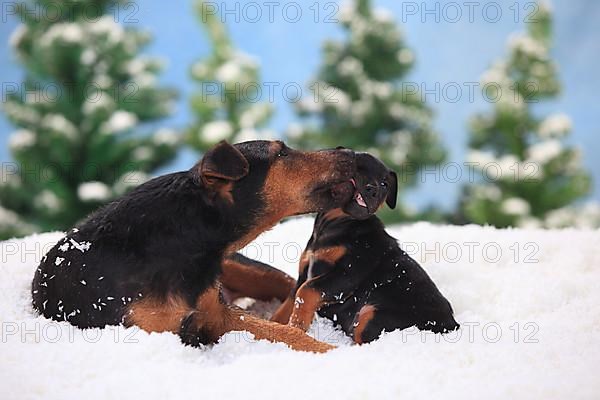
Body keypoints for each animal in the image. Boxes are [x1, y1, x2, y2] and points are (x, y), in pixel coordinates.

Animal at [34, 141, 366, 354]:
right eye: (281, 153)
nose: (350, 152)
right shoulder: (158, 328)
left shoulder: (218, 314)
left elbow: (286, 333)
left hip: (246, 270)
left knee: (291, 288)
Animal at [272, 153, 460, 344]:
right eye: (358, 169)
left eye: (385, 184)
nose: (373, 191)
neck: (336, 224)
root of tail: (453, 326)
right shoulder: (303, 273)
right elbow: (288, 302)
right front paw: (275, 325)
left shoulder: (348, 273)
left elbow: (306, 291)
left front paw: (296, 328)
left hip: (371, 313)